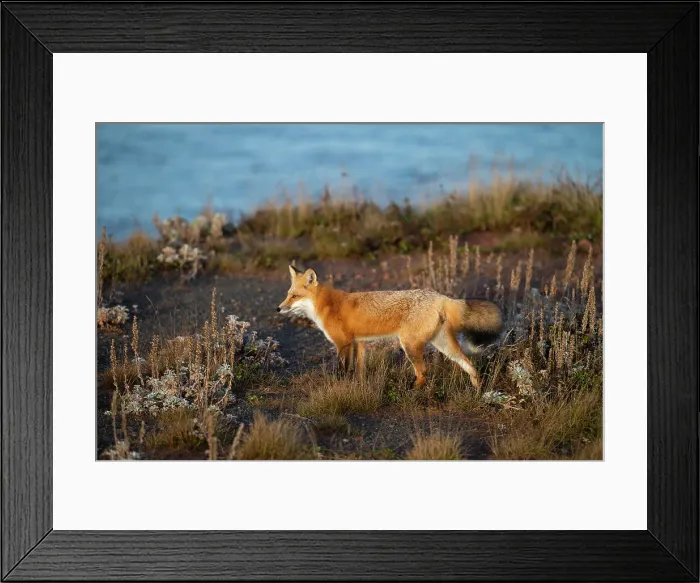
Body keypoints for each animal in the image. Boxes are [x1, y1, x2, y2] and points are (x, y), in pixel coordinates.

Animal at [277, 265, 503, 391]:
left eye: (294, 296)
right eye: (288, 294)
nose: (278, 308)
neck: (326, 305)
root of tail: (440, 296)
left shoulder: (343, 344)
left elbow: (343, 371)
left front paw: (340, 386)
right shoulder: (358, 343)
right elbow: (359, 370)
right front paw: (358, 387)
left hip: (409, 344)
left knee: (423, 373)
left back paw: (411, 391)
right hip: (443, 345)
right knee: (469, 365)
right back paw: (477, 391)